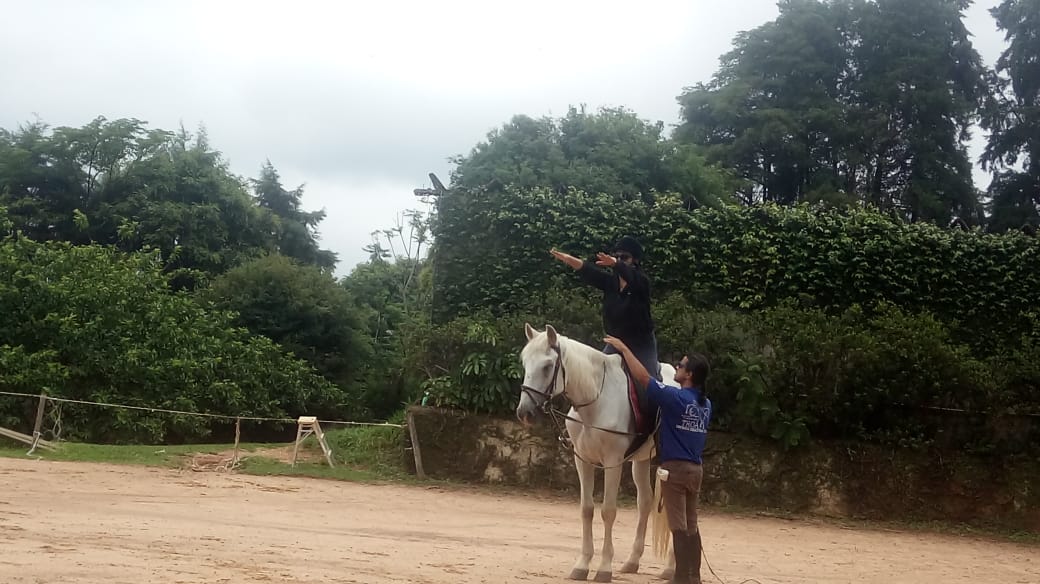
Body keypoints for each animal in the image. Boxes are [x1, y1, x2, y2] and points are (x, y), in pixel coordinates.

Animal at [517, 320, 678, 577]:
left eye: (548, 366)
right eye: (525, 363)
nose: (525, 413)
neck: (595, 401)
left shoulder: (612, 463)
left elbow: (608, 511)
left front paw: (604, 568)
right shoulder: (582, 460)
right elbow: (587, 509)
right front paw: (582, 564)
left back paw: (672, 568)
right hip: (641, 461)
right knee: (645, 502)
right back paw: (632, 561)